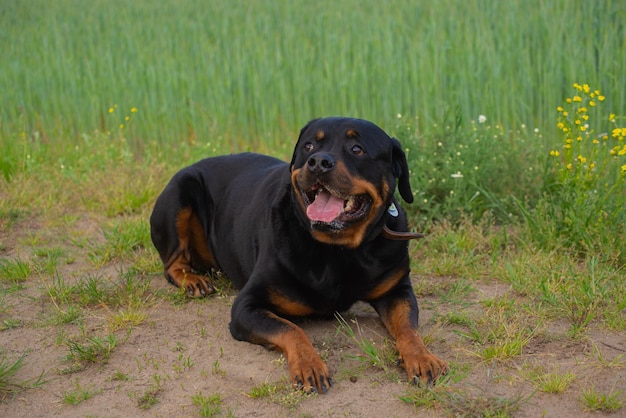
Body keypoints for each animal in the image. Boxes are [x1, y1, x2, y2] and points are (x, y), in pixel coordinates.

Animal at [149, 116, 446, 392]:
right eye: (309, 146)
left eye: (357, 149)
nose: (318, 162)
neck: (337, 251)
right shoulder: (247, 305)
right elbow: (291, 329)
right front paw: (308, 364)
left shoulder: (397, 289)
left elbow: (408, 327)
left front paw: (422, 358)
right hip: (180, 192)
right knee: (172, 262)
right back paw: (192, 280)